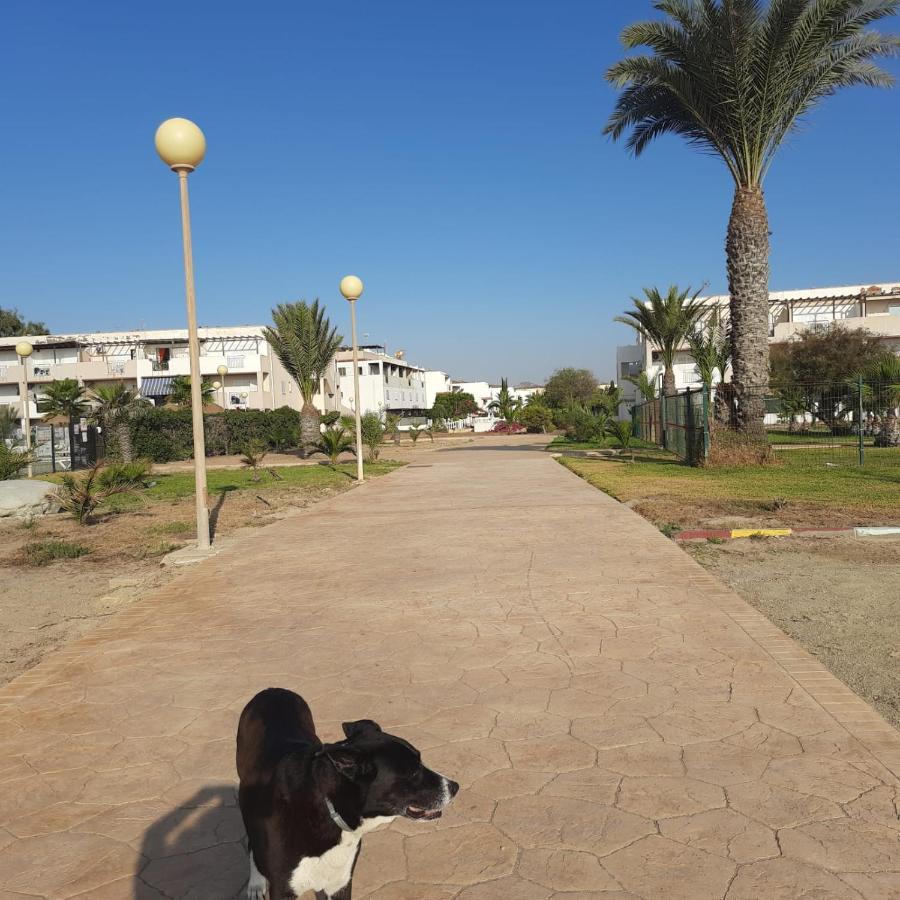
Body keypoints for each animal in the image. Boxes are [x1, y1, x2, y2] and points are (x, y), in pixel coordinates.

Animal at [237, 684, 458, 896]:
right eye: (413, 771)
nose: (455, 787)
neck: (328, 808)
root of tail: (273, 690)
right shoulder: (284, 888)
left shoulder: (339, 882)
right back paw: (256, 883)